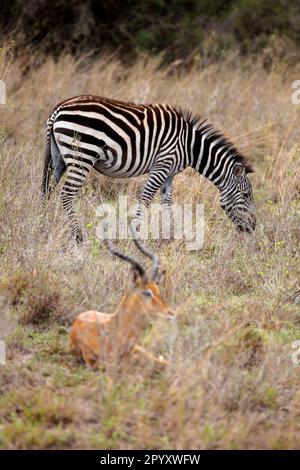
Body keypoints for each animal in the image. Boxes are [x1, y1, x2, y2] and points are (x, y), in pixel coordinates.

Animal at [42, 95, 255, 242]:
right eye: (246, 196)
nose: (253, 227)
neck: (189, 146)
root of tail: (59, 108)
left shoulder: (170, 173)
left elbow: (167, 203)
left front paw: (170, 238)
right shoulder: (162, 165)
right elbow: (145, 200)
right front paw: (135, 234)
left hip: (59, 157)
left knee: (47, 190)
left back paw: (42, 223)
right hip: (83, 154)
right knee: (66, 194)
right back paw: (78, 237)